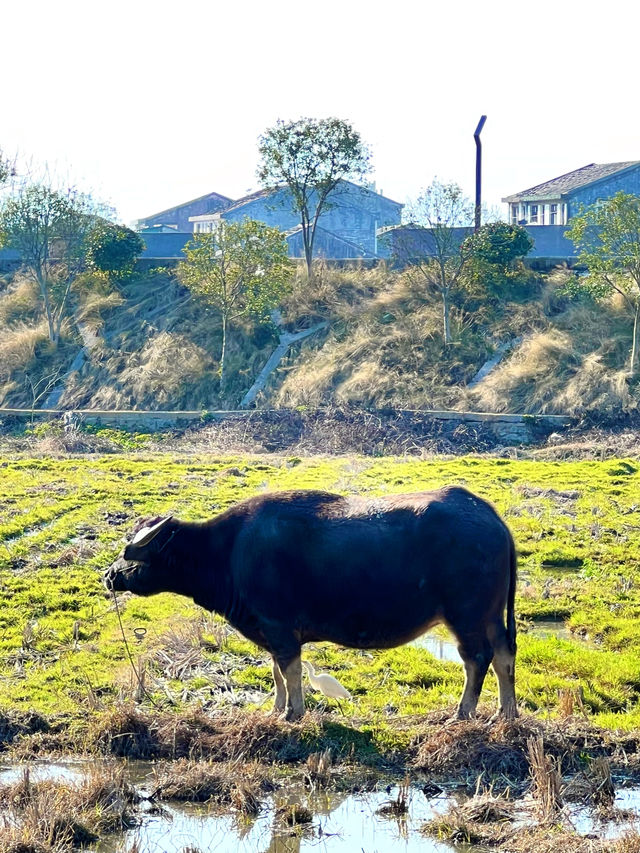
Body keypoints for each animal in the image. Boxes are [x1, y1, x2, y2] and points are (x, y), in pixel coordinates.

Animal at [104, 486, 516, 720]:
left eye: (132, 554)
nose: (108, 576)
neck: (229, 552)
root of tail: (491, 517)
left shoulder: (279, 628)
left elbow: (291, 671)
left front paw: (293, 712)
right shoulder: (271, 632)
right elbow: (276, 672)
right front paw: (275, 708)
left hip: (465, 616)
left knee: (476, 659)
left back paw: (462, 713)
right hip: (492, 616)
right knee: (504, 655)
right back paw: (506, 713)